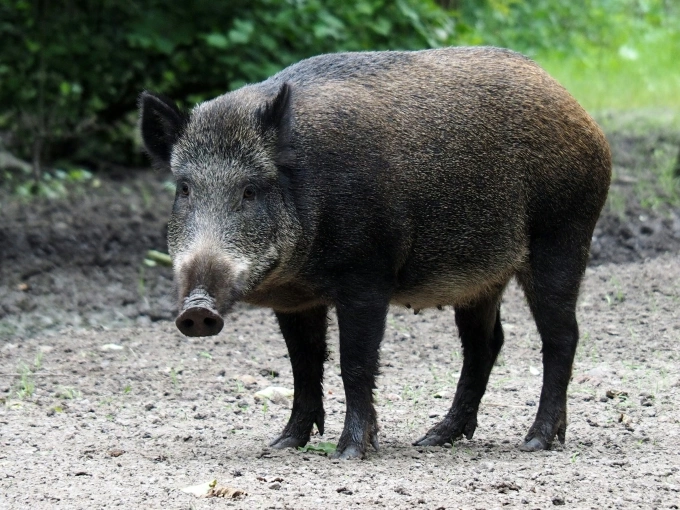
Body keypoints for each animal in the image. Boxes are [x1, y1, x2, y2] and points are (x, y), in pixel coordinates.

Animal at [139, 46, 611, 459]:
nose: (197, 310)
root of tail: (581, 115)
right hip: (482, 278)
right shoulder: (295, 300)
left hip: (563, 236)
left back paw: (536, 441)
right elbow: (304, 364)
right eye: (185, 188)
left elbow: (356, 362)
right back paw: (434, 437)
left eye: (250, 190)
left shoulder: (367, 275)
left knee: (561, 336)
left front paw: (350, 452)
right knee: (486, 343)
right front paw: (283, 444)